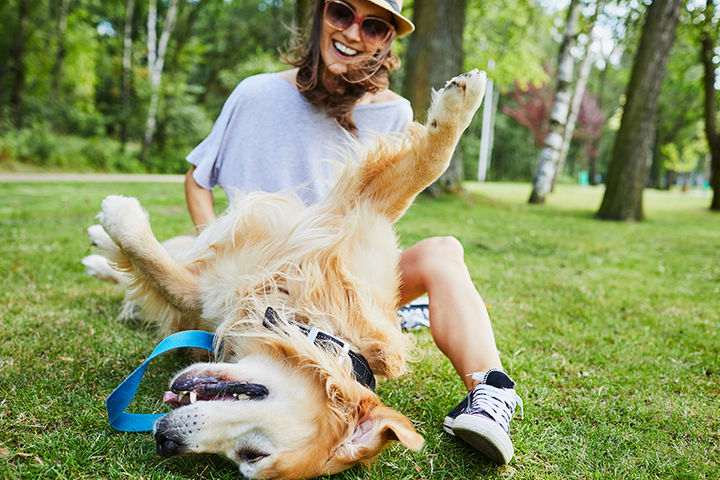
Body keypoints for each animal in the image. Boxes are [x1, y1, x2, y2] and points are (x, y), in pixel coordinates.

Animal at [87, 69, 486, 478]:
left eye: (249, 455)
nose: (165, 441)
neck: (309, 319)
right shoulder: (358, 214)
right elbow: (428, 166)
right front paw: (462, 100)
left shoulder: (203, 296)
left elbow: (161, 275)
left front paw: (120, 219)